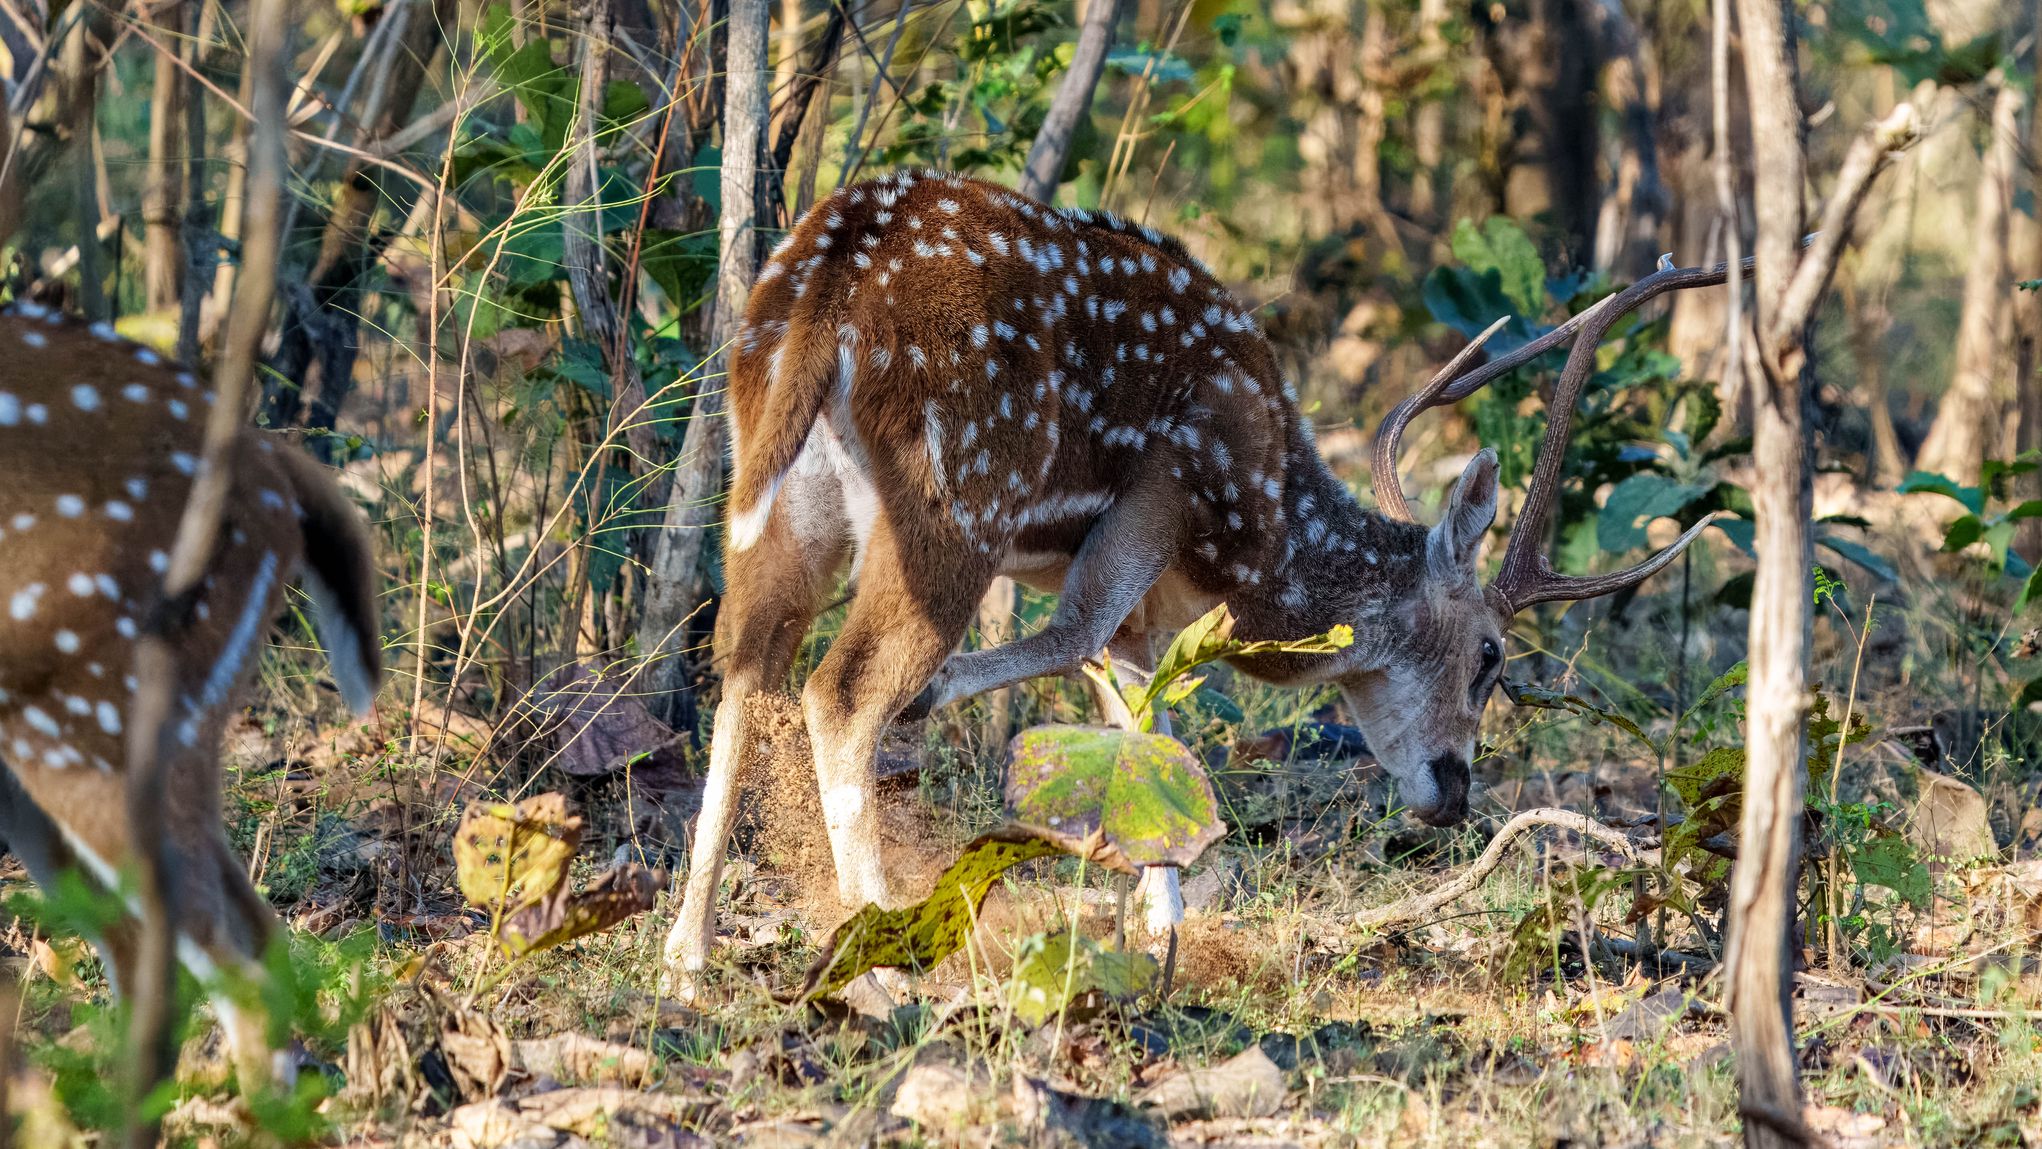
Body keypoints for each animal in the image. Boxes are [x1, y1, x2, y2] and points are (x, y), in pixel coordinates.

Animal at [659, 167, 1730, 991]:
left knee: (743, 663)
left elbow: (1144, 715)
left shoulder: (1134, 591)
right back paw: (882, 955)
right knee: (839, 689)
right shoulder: (1163, 491)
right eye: (1491, 655)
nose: (1453, 793)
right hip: (958, 489)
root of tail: (823, 281)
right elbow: (1084, 642)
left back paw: (689, 953)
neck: (1258, 536)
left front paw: (1163, 925)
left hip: (772, 489)